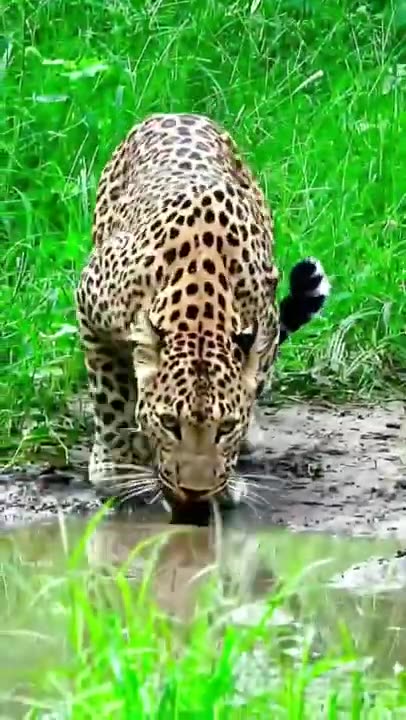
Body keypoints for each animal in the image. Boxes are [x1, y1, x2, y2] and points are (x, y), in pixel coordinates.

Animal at [76, 112, 330, 509]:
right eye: (169, 424)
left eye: (225, 428)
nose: (195, 493)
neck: (200, 310)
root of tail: (175, 113)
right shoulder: (90, 306)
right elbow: (110, 398)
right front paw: (116, 470)